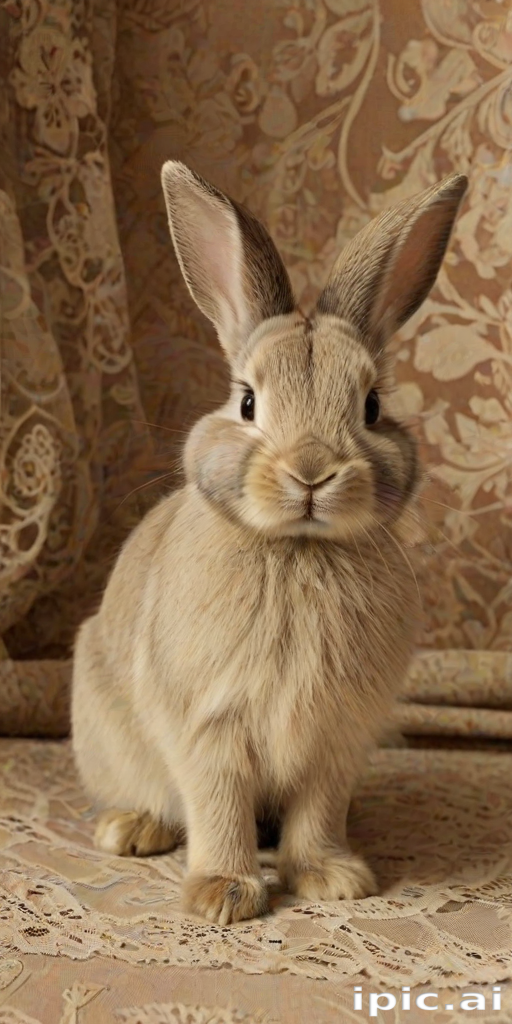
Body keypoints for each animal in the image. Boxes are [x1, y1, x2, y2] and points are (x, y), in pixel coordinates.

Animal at [72, 163, 467, 925]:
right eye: (247, 402)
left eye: (372, 406)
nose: (311, 471)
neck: (297, 548)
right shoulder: (210, 727)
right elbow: (219, 807)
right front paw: (221, 896)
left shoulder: (334, 739)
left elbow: (318, 814)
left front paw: (333, 879)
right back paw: (131, 830)